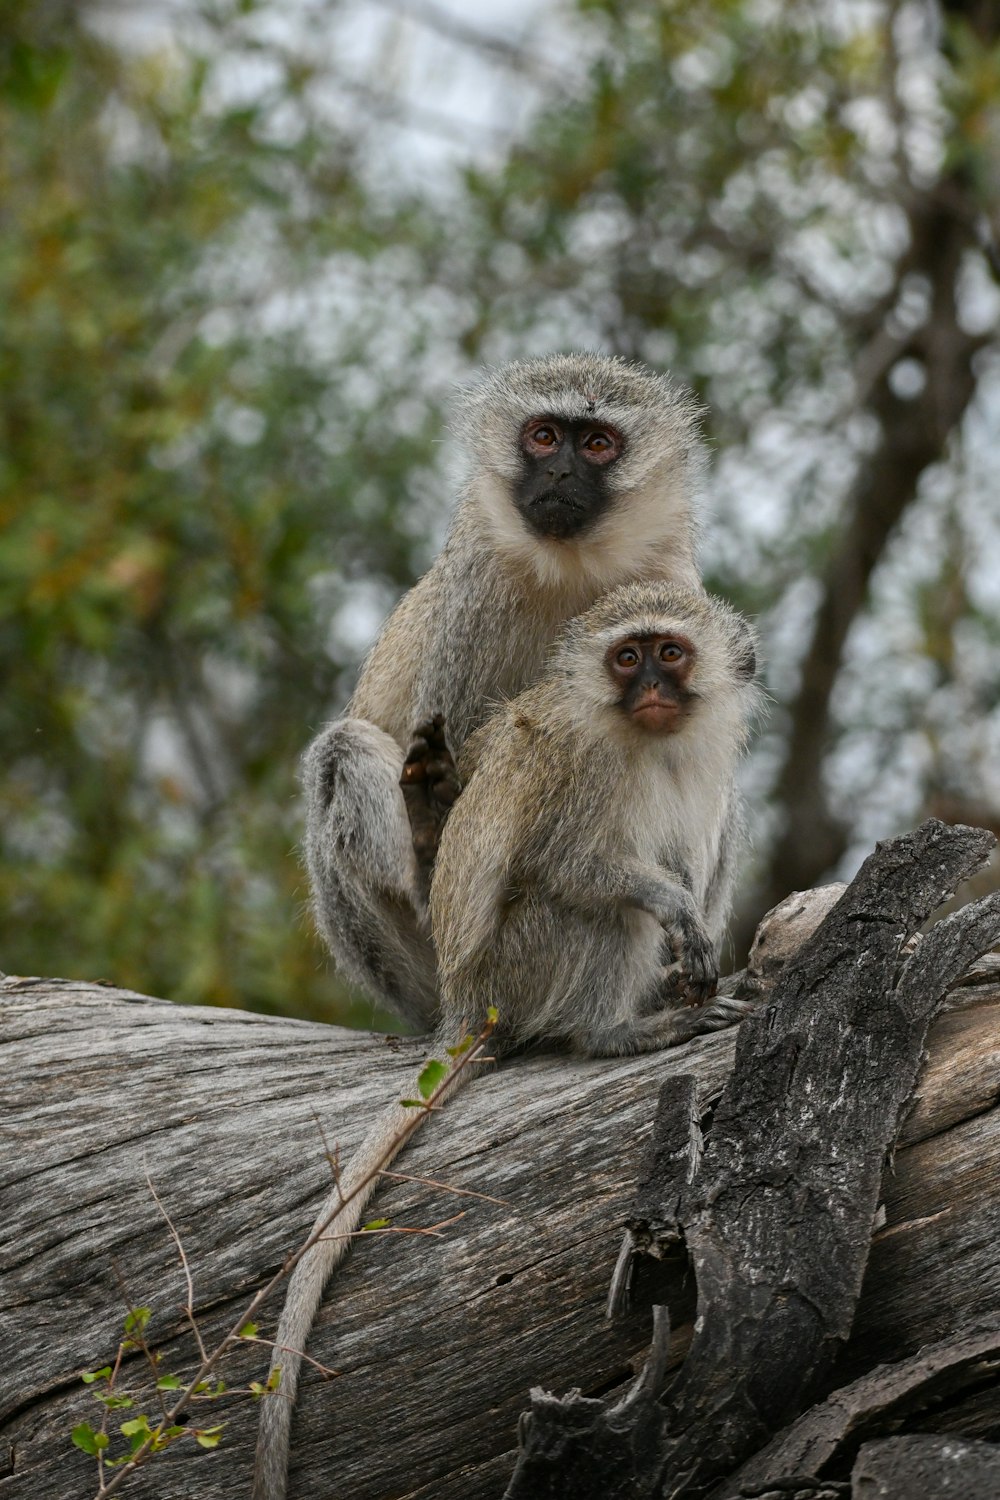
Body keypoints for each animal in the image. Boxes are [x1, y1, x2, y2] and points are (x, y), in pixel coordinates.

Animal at [256, 582, 758, 1500]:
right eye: (626, 658)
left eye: (670, 653)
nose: (650, 688)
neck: (654, 744)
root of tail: (468, 1002)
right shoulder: (579, 770)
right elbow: (574, 867)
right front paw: (670, 915)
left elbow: (695, 854)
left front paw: (698, 947)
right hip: (522, 966)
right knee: (601, 910)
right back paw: (618, 1030)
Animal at [301, 354, 707, 1032]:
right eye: (543, 436)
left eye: (597, 444)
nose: (561, 471)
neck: (572, 566)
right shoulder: (473, 597)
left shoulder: (670, 580)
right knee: (344, 752)